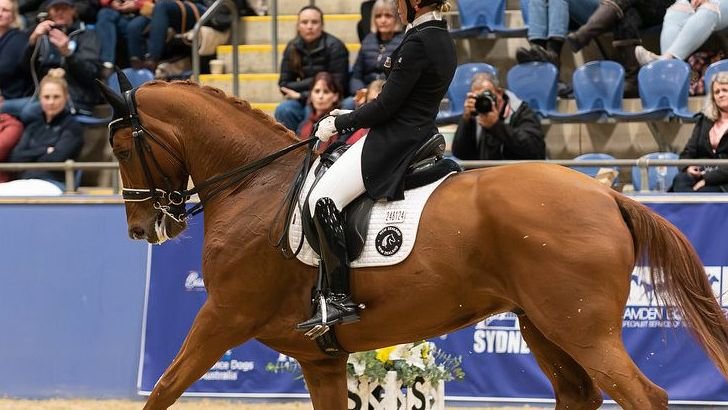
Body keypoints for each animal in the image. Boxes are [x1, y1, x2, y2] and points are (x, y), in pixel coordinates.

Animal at [97, 74, 728, 410]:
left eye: (123, 148)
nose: (141, 228)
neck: (256, 185)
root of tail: (607, 195)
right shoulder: (320, 359)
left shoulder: (223, 316)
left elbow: (163, 388)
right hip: (544, 327)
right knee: (579, 396)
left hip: (582, 329)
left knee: (645, 397)